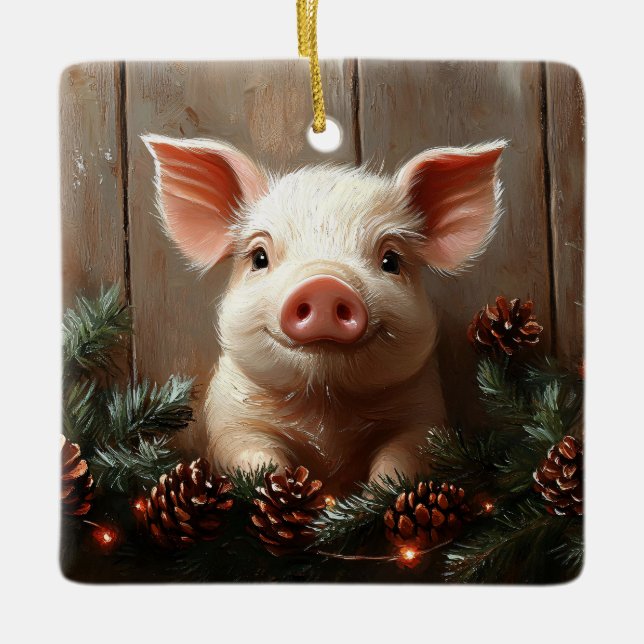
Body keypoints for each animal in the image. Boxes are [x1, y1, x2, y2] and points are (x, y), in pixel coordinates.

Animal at [143, 134, 505, 493]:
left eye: (391, 260)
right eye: (259, 257)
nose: (324, 284)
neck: (323, 406)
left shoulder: (423, 414)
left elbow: (401, 458)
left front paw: (373, 495)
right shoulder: (230, 418)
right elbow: (252, 454)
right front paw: (279, 486)